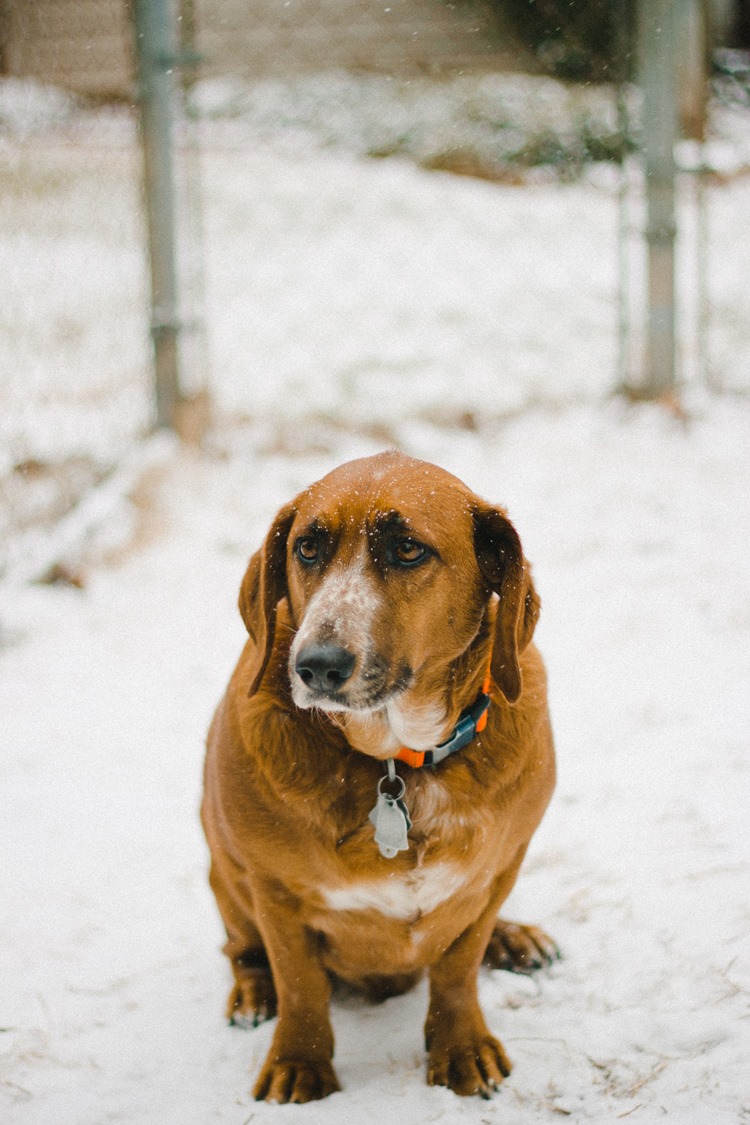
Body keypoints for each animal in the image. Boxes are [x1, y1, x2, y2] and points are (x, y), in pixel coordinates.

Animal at [202, 447, 555, 1098]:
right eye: (307, 548)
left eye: (408, 550)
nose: (315, 665)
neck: (394, 760)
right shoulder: (274, 892)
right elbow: (300, 985)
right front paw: (300, 1064)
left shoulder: (499, 870)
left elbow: (459, 967)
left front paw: (460, 1046)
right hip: (224, 876)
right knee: (242, 950)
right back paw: (252, 992)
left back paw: (513, 937)